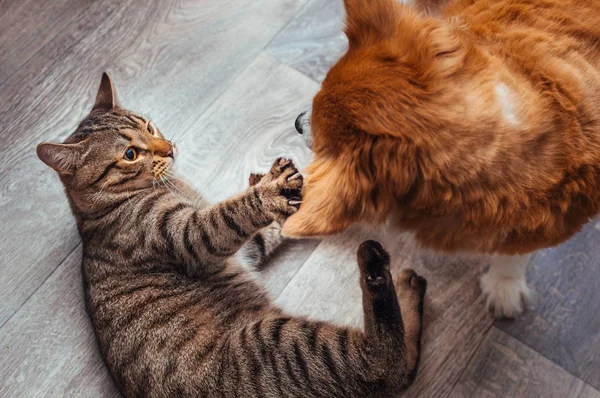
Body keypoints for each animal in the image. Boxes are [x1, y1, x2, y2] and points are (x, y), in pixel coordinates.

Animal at [36, 73, 426, 396]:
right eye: (131, 154)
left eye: (148, 126)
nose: (169, 149)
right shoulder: (186, 235)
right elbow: (230, 213)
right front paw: (269, 192)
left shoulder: (248, 246)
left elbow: (273, 226)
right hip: (280, 342)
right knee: (385, 366)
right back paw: (375, 268)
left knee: (404, 361)